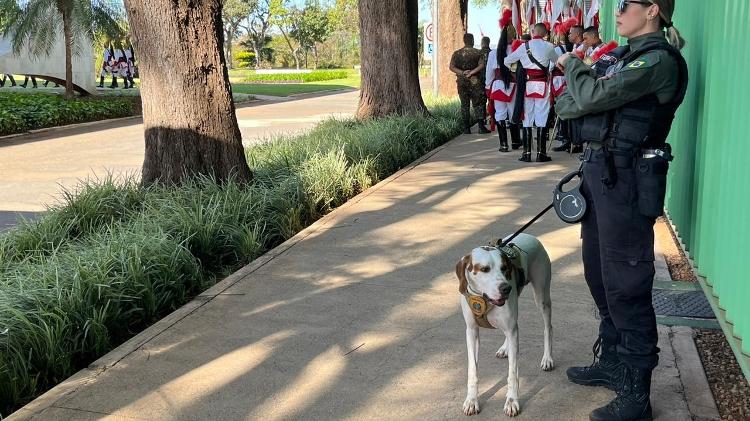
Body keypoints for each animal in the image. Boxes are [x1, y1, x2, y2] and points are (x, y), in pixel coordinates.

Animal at [456, 233, 556, 416]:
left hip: (542, 297)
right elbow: (472, 370)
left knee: (548, 327)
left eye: (504, 268)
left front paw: (512, 401)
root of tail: (529, 235)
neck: (485, 299)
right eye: (484, 269)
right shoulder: (472, 331)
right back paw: (505, 348)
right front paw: (472, 400)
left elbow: (512, 373)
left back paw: (547, 358)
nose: (506, 288)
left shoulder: (512, 329)